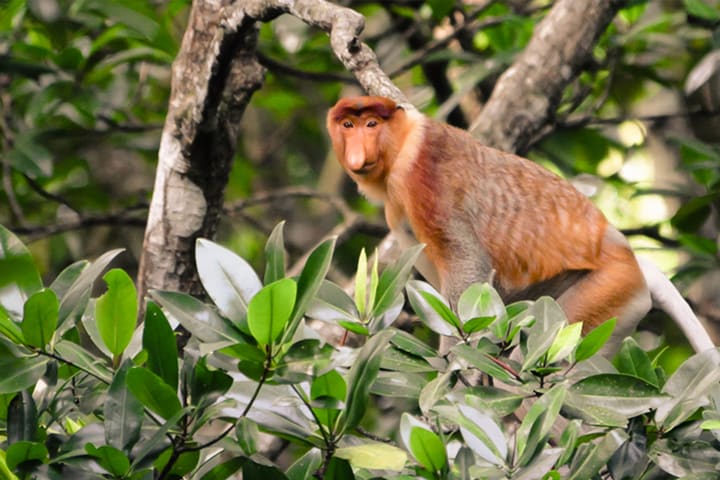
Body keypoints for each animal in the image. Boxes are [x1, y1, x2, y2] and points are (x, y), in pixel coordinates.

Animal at [327, 95, 716, 356]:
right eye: (348, 125)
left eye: (371, 124)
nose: (357, 153)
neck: (404, 144)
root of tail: (628, 254)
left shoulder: (424, 176)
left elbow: (468, 263)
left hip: (610, 291)